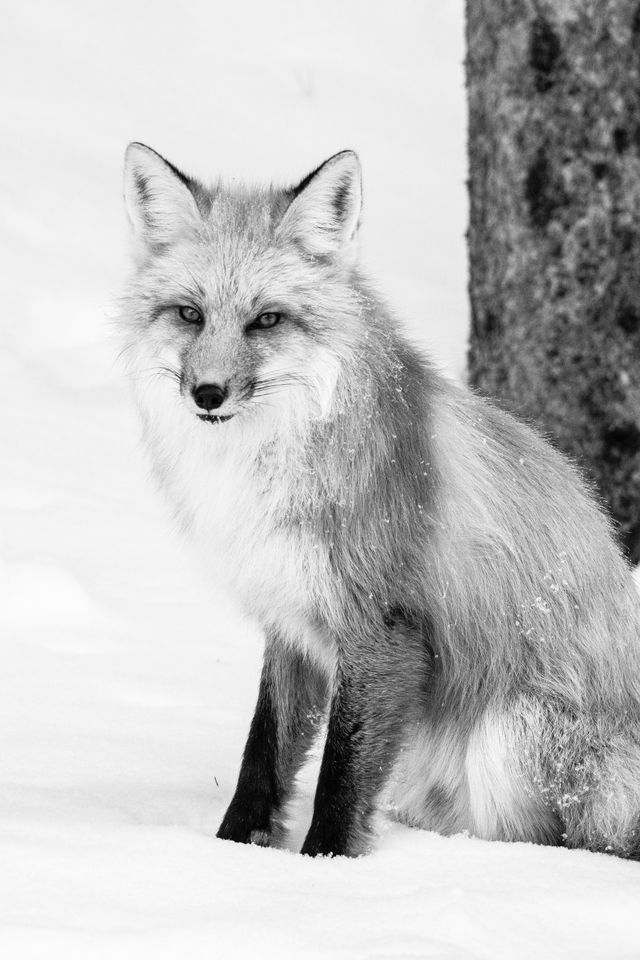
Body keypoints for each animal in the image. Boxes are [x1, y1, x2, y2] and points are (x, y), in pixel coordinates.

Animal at [117, 144, 640, 864]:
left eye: (267, 319)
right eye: (189, 314)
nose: (208, 393)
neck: (271, 460)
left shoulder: (383, 627)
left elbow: (341, 773)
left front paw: (327, 868)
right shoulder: (291, 617)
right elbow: (264, 754)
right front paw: (236, 852)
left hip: (509, 734)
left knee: (567, 842)